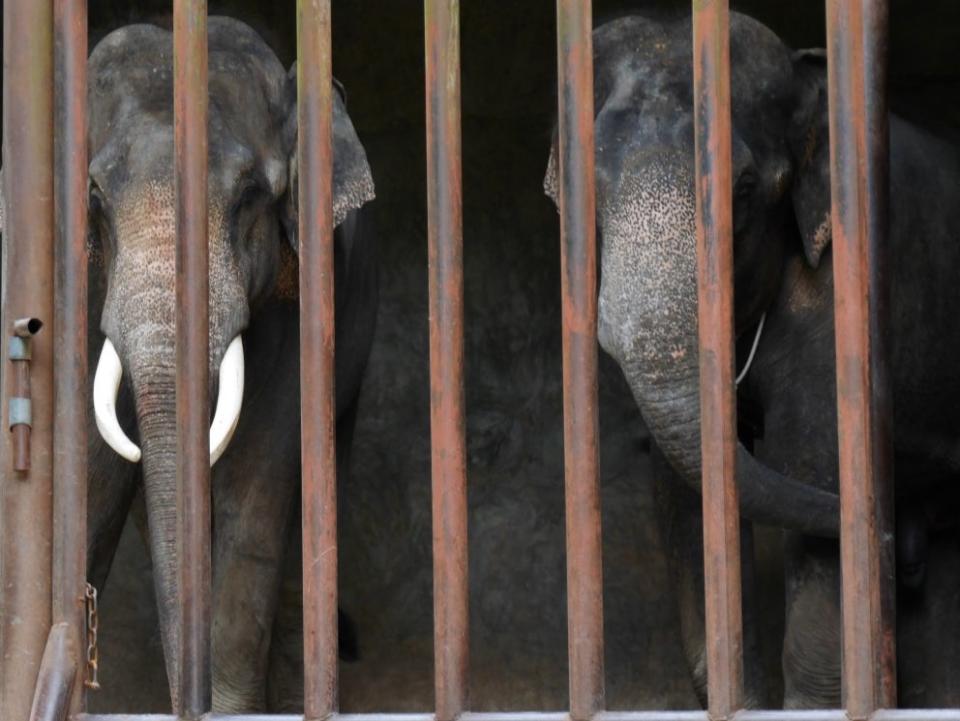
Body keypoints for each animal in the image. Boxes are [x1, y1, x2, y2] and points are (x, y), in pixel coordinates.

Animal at [544, 11, 960, 708]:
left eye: (742, 188)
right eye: (588, 192)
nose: (881, 531)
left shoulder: (840, 292)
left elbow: (815, 470)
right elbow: (691, 501)